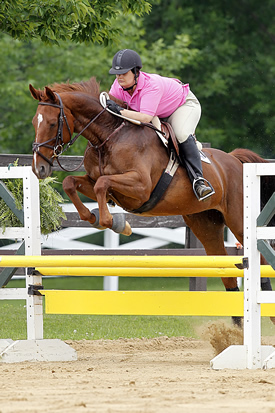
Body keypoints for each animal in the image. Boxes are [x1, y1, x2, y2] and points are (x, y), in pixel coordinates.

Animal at [29, 75, 274, 324]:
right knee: (226, 272)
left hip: (238, 222)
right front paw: (94, 217)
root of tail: (235, 160)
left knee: (261, 261)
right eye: (34, 123)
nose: (39, 168)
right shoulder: (96, 180)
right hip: (205, 224)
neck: (108, 137)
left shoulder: (140, 187)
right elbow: (72, 182)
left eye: (52, 123)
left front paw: (115, 223)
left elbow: (102, 184)